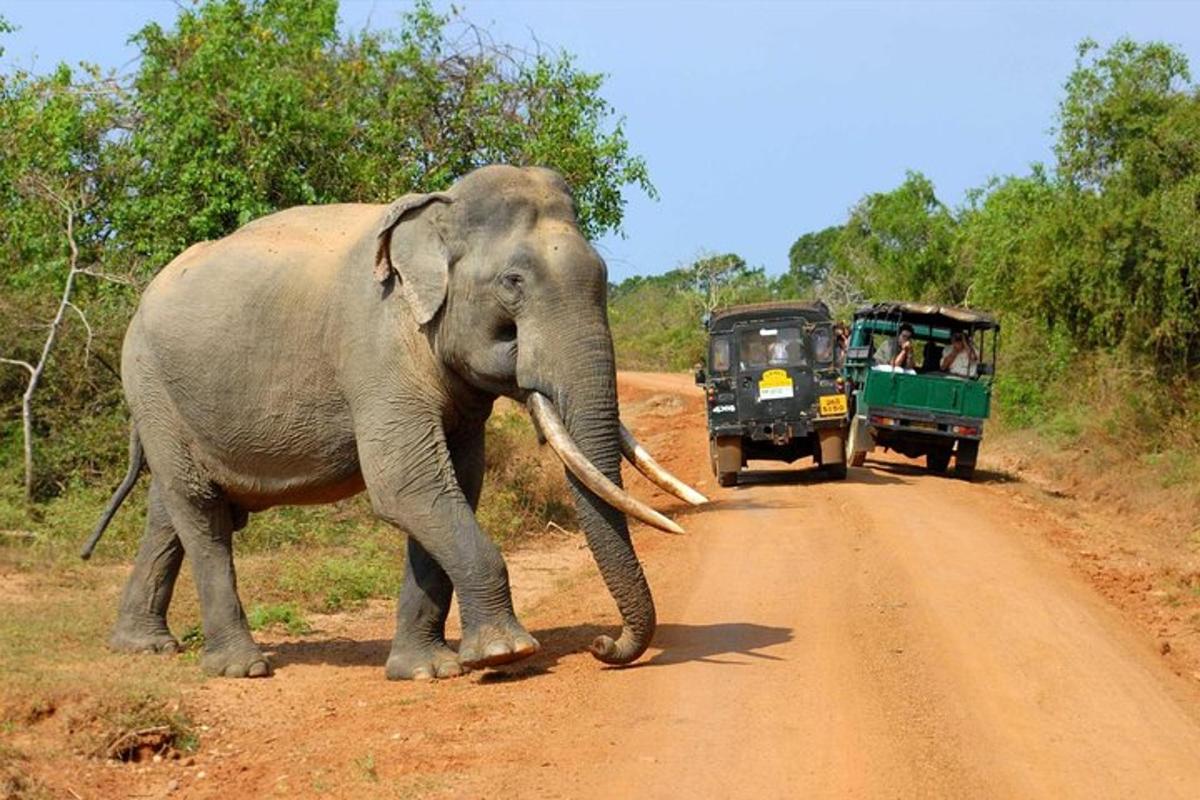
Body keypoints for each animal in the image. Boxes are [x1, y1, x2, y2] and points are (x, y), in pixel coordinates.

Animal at [84, 165, 705, 681]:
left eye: (603, 277)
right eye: (513, 282)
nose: (604, 645)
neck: (437, 214)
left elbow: (455, 485)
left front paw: (427, 671)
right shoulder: (376, 347)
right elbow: (407, 487)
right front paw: (505, 655)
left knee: (170, 508)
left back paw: (143, 646)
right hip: (149, 381)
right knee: (201, 509)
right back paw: (242, 668)